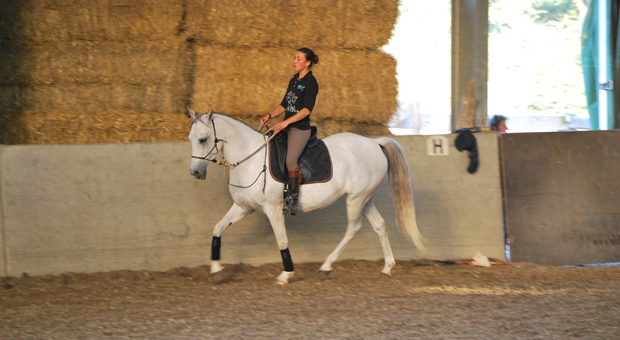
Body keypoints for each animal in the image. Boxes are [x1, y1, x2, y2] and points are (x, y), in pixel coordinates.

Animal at [186, 108, 424, 284]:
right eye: (190, 138)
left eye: (203, 139)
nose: (195, 173)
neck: (251, 159)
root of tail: (375, 143)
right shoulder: (243, 207)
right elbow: (218, 229)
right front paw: (216, 271)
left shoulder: (273, 210)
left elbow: (282, 240)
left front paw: (286, 274)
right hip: (365, 199)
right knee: (379, 225)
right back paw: (387, 267)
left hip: (356, 199)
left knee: (353, 228)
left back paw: (326, 267)